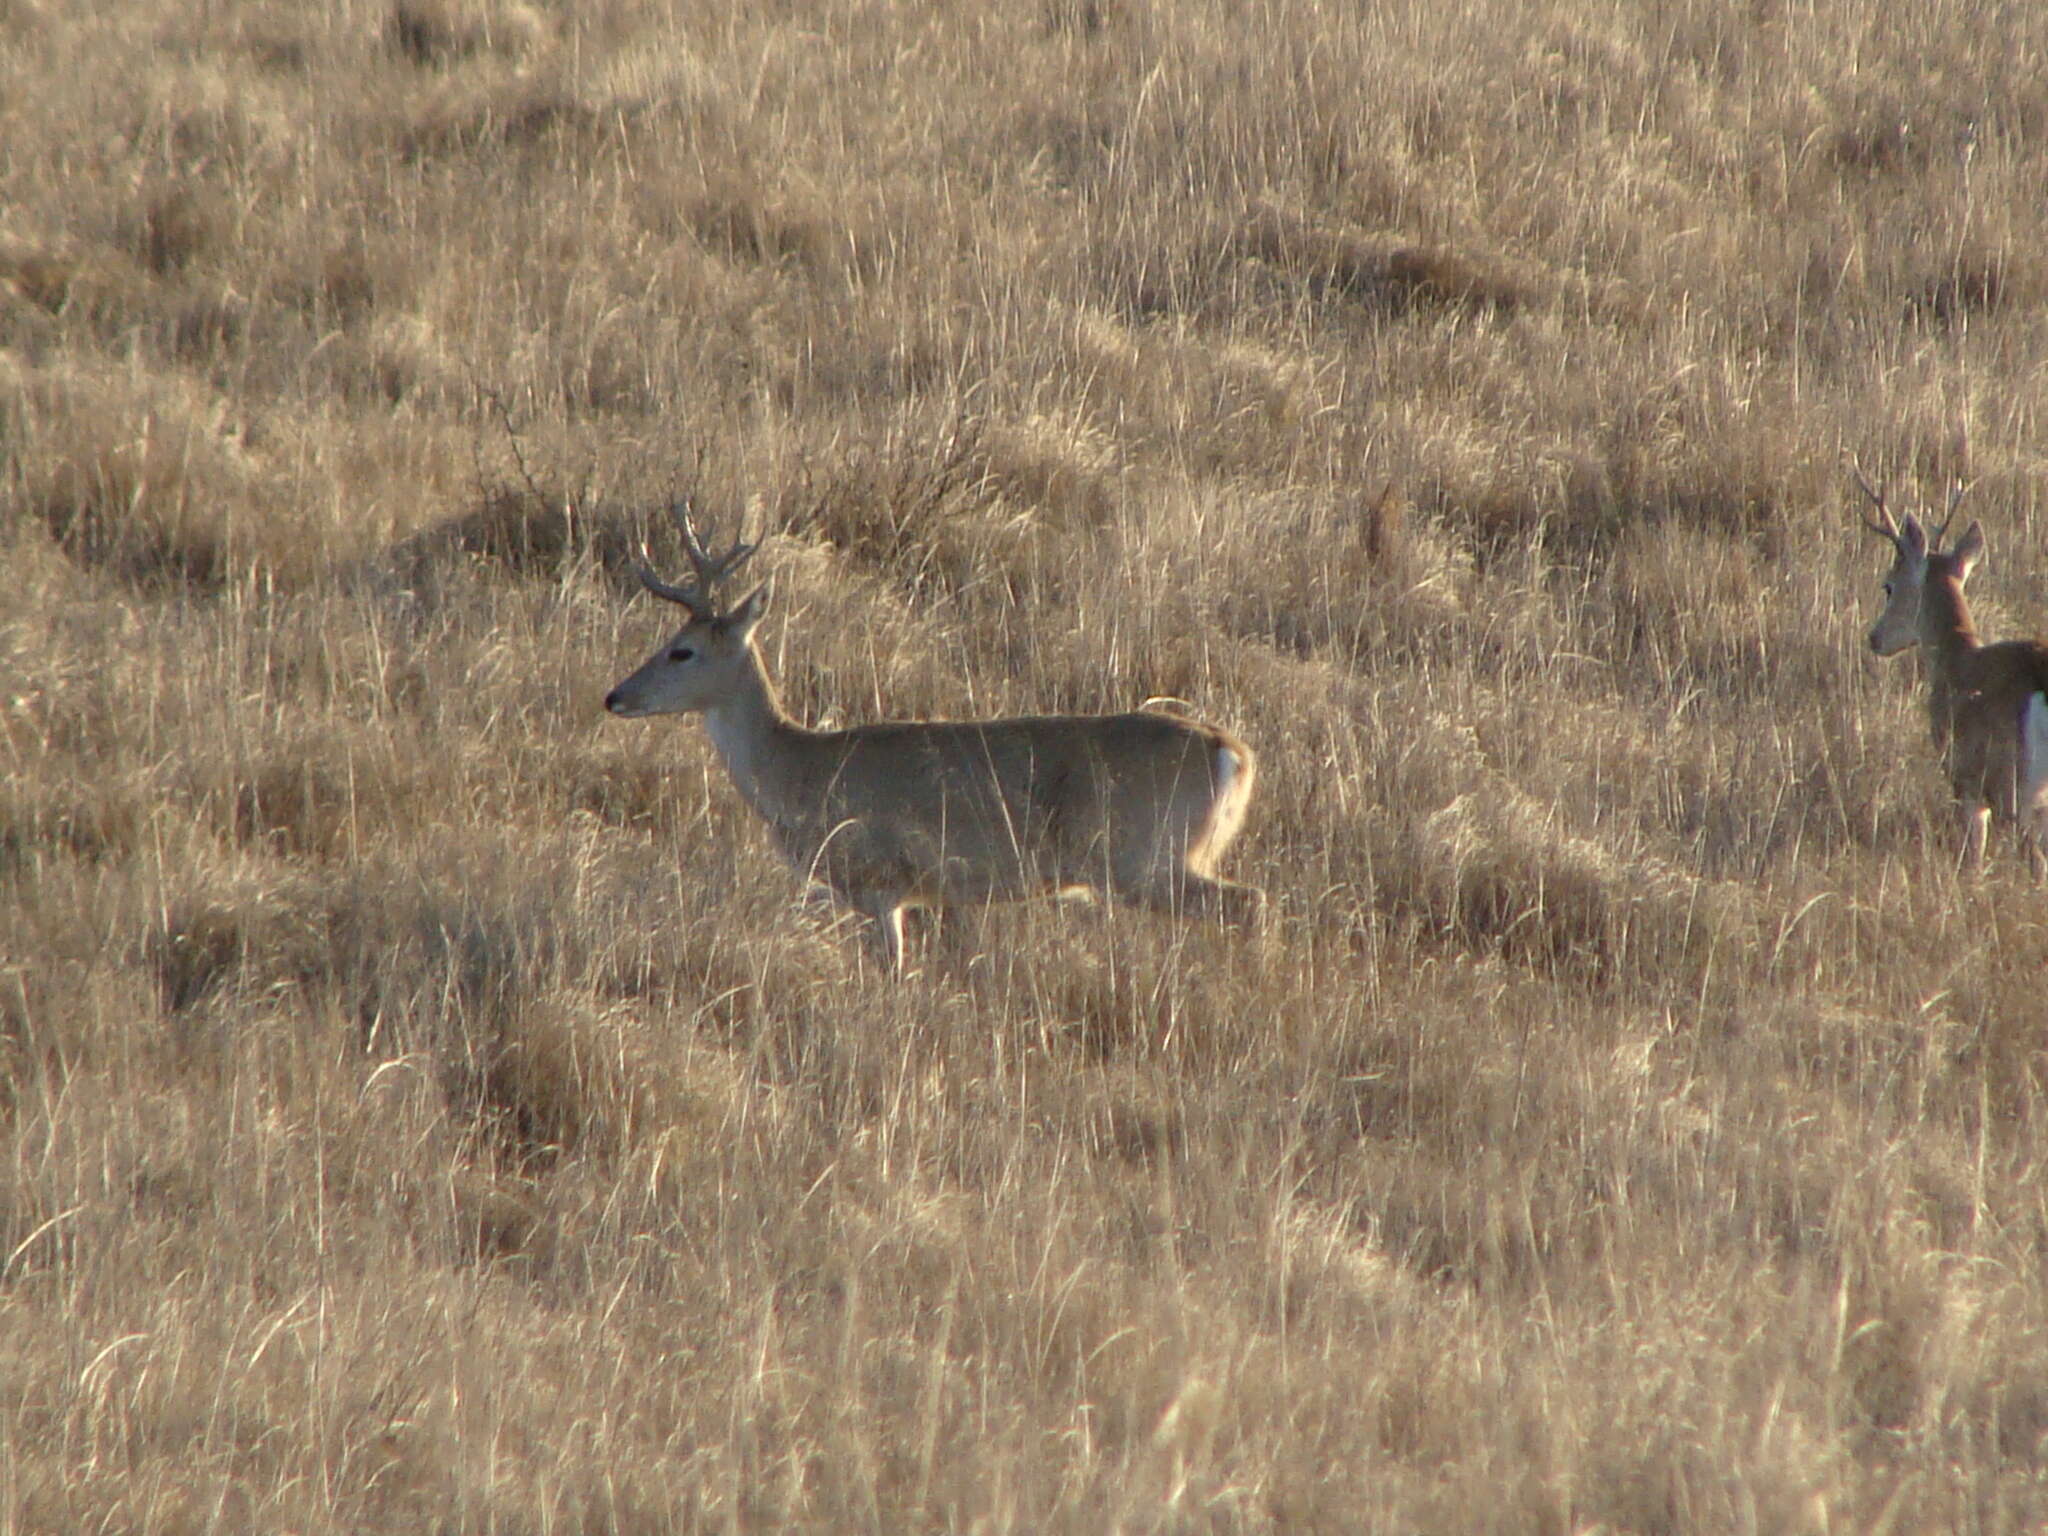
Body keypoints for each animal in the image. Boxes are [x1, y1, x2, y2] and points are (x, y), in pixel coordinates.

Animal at [598, 507, 1261, 974]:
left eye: (681, 651)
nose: (615, 696)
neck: (798, 769)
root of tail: (1230, 751)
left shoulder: (879, 880)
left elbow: (892, 972)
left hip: (1140, 857)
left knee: (1250, 904)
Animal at [1859, 468, 2048, 876]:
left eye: (1888, 586)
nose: (1874, 638)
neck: (1956, 654)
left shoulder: (1965, 779)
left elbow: (1973, 854)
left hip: (2016, 786)